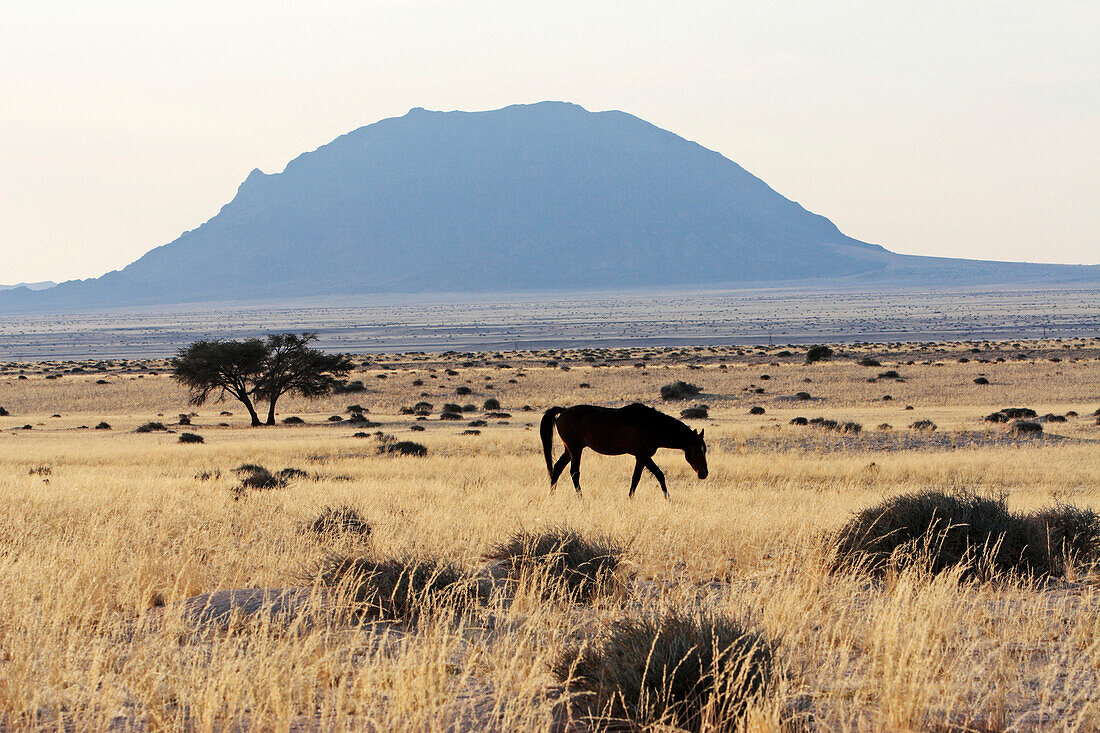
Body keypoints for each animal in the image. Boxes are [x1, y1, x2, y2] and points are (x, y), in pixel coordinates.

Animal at [539, 400, 708, 497]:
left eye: (704, 449)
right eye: (695, 450)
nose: (704, 473)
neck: (653, 425)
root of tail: (563, 411)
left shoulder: (641, 457)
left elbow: (636, 478)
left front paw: (630, 498)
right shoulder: (643, 455)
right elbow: (659, 475)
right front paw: (668, 499)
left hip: (569, 450)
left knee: (557, 468)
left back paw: (551, 495)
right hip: (575, 449)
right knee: (574, 472)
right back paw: (581, 497)